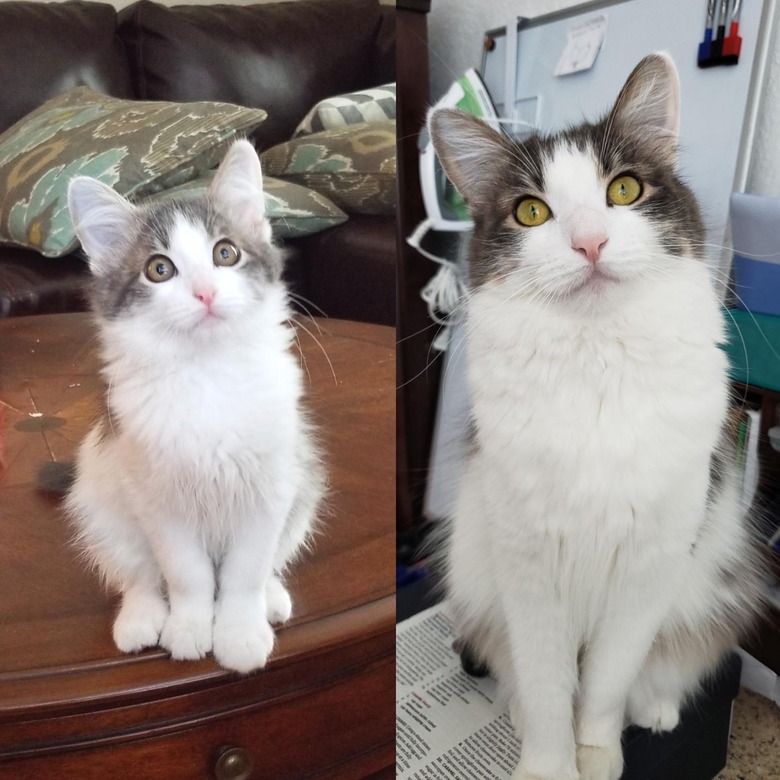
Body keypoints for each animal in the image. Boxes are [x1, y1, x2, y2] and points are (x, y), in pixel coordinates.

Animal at [63, 140, 326, 676]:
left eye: (225, 253)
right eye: (159, 269)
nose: (205, 292)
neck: (208, 376)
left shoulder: (272, 488)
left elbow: (245, 572)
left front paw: (240, 632)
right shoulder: (157, 499)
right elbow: (187, 575)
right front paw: (189, 627)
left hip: (304, 491)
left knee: (271, 562)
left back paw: (272, 597)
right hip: (100, 499)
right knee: (138, 574)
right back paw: (141, 618)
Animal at [430, 53, 764, 780]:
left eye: (625, 190)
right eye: (531, 211)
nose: (589, 243)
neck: (597, 360)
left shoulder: (652, 564)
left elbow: (606, 683)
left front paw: (598, 754)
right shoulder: (527, 564)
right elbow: (549, 685)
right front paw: (549, 764)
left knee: (659, 668)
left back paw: (657, 708)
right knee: (509, 666)